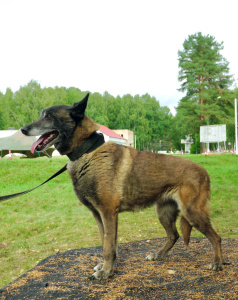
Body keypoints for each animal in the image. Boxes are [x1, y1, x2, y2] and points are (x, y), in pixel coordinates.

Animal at [20, 93, 223, 278]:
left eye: (48, 116)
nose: (23, 129)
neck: (87, 151)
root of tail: (204, 172)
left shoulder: (108, 213)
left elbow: (109, 246)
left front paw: (106, 272)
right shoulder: (98, 215)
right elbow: (105, 242)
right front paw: (105, 267)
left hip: (192, 212)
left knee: (216, 237)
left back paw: (217, 263)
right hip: (164, 212)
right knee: (174, 235)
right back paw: (159, 255)